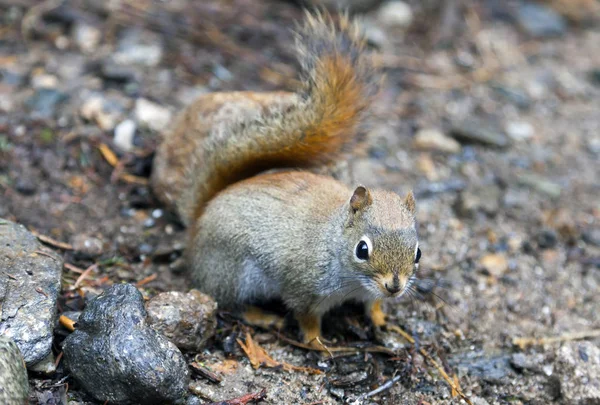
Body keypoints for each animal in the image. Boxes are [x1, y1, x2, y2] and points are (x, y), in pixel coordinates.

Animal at [155, 12, 422, 348]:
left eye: (418, 252)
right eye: (362, 249)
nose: (395, 287)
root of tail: (199, 220)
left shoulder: (367, 293)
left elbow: (372, 304)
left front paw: (382, 320)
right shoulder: (303, 288)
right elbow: (306, 318)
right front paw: (318, 343)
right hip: (233, 272)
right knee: (229, 302)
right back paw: (261, 316)